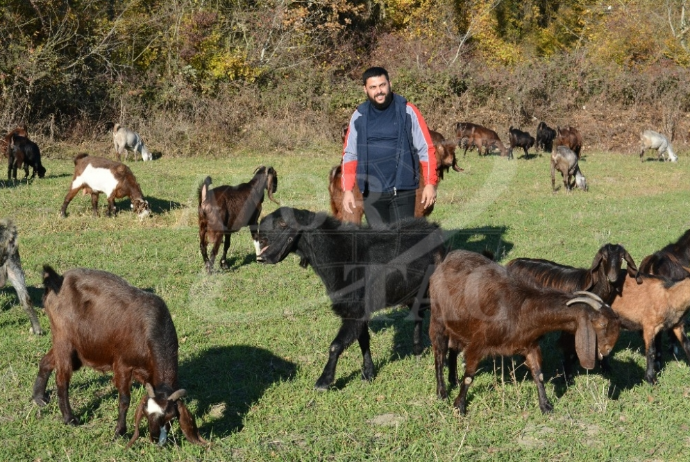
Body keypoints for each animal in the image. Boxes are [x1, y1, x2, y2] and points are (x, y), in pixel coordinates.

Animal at [33, 268, 204, 448]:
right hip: (63, 339)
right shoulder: (122, 364)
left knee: (45, 362)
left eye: (171, 417)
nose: (155, 437)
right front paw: (119, 432)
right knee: (62, 379)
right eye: (146, 413)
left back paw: (39, 398)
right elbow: (124, 400)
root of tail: (58, 280)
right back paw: (69, 418)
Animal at [255, 208, 444, 392]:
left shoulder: (355, 310)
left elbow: (336, 345)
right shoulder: (358, 311)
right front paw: (368, 373)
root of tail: (434, 228)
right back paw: (417, 350)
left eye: (283, 223)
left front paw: (323, 382)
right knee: (418, 315)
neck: (340, 254)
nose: (258, 237)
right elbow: (363, 341)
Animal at [430, 249, 620, 416]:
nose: (607, 350)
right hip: (438, 319)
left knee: (453, 348)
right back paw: (442, 392)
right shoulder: (478, 343)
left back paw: (453, 379)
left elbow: (538, 374)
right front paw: (459, 407)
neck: (522, 309)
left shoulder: (529, 345)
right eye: (601, 323)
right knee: (439, 353)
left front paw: (546, 406)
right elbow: (469, 377)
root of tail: (446, 260)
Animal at [502, 244, 636, 380]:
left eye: (622, 257)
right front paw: (568, 375)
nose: (613, 278)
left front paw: (605, 368)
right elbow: (567, 347)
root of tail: (511, 264)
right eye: (604, 257)